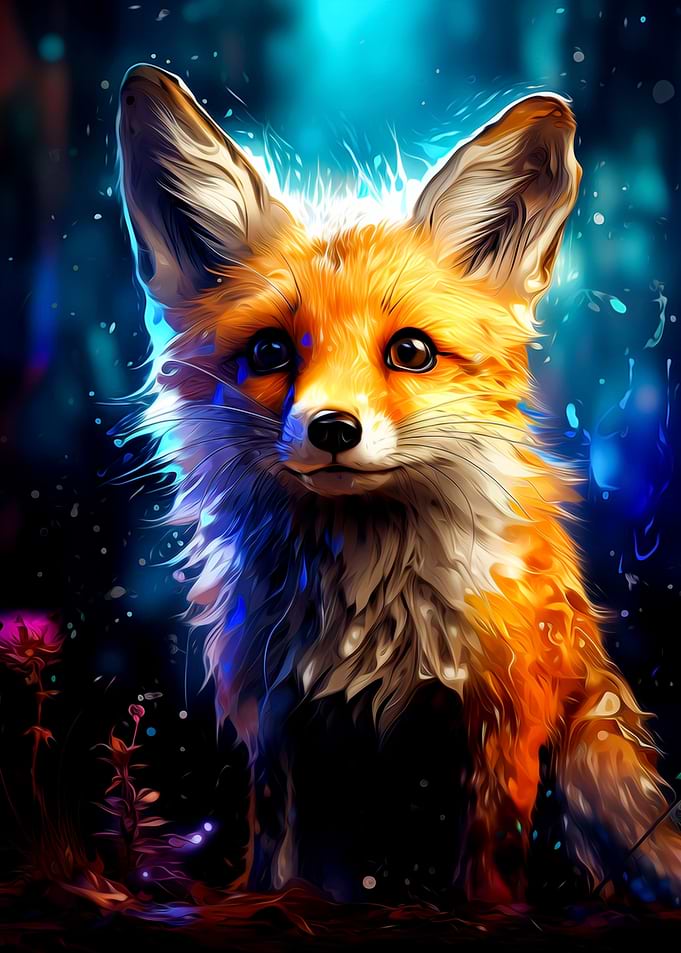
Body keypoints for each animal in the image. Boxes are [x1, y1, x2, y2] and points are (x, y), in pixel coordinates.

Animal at [116, 64, 681, 904]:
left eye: (410, 351)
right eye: (271, 350)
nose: (332, 429)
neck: (366, 609)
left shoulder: (502, 719)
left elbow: (488, 863)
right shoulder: (278, 720)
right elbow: (273, 858)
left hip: (595, 763)